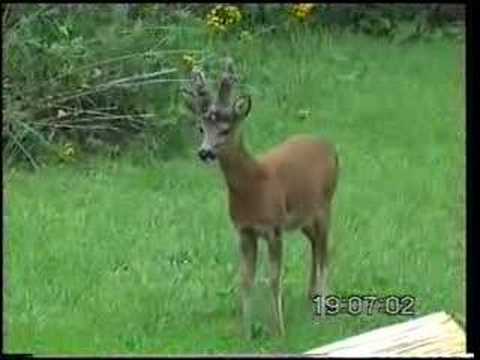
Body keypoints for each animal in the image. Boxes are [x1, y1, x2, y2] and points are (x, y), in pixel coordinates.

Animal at [182, 58, 340, 338]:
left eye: (225, 129)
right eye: (202, 128)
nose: (204, 152)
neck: (255, 187)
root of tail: (330, 148)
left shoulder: (273, 227)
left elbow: (274, 278)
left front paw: (280, 330)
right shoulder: (245, 230)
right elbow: (245, 278)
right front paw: (245, 330)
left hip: (325, 205)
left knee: (324, 251)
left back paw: (322, 310)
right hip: (304, 217)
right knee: (315, 245)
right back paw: (311, 296)